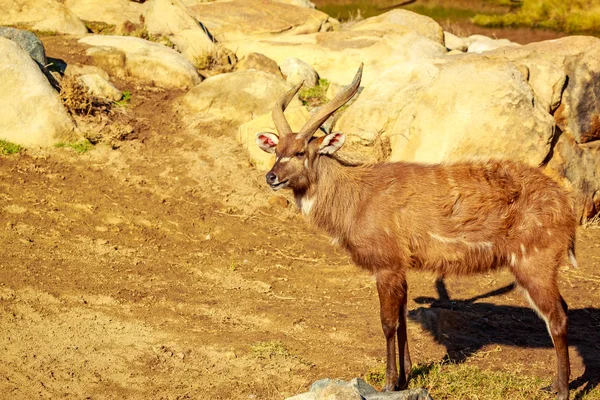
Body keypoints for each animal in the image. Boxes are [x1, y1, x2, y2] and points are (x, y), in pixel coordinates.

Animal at [256, 64, 576, 398]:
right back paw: (553, 385)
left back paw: (563, 391)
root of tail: (566, 204)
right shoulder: (401, 268)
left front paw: (387, 383)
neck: (358, 197)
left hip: (534, 262)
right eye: (277, 150)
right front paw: (405, 377)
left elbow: (387, 322)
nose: (271, 177)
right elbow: (401, 319)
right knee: (561, 310)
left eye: (301, 151)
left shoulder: (386, 265)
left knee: (557, 316)